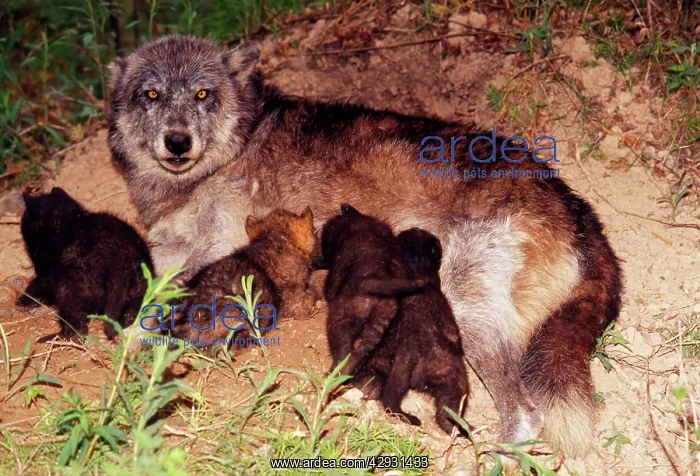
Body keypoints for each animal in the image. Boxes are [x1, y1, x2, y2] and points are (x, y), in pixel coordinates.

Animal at [17, 187, 152, 340]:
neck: (70, 222)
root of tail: (120, 263)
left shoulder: (48, 274)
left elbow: (37, 284)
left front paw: (24, 300)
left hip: (69, 291)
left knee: (78, 327)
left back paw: (53, 338)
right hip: (138, 291)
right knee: (132, 313)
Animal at [108, 35, 622, 456]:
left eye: (203, 95)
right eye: (151, 95)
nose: (177, 142)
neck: (235, 144)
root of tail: (576, 206)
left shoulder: (224, 238)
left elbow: (171, 290)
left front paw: (133, 333)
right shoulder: (170, 242)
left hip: (467, 310)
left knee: (526, 415)